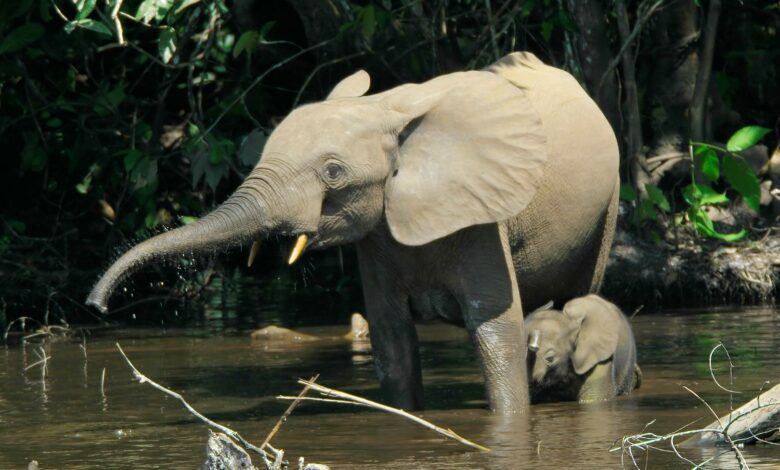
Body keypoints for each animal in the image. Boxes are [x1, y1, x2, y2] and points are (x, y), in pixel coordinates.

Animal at [87, 52, 620, 414]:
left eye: (333, 172)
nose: (96, 306)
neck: (387, 110)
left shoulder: (482, 218)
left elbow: (495, 334)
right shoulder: (378, 236)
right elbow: (392, 342)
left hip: (608, 205)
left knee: (578, 296)